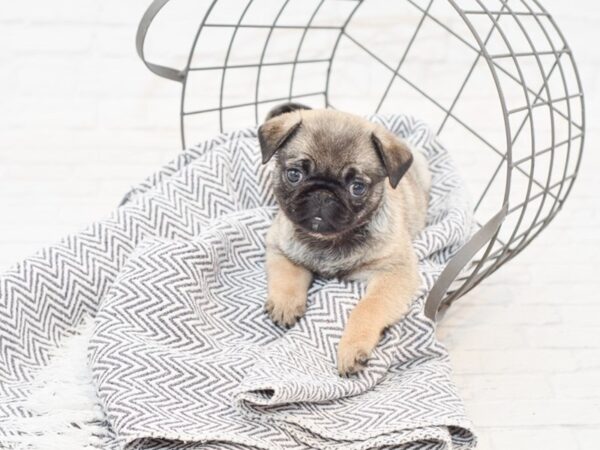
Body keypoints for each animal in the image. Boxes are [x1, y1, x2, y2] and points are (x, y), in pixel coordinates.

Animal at [258, 103, 432, 374]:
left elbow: (368, 307)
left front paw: (353, 346)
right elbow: (288, 272)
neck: (328, 240)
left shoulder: (394, 272)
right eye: (294, 174)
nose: (322, 194)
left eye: (357, 187)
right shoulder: (279, 243)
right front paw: (286, 303)